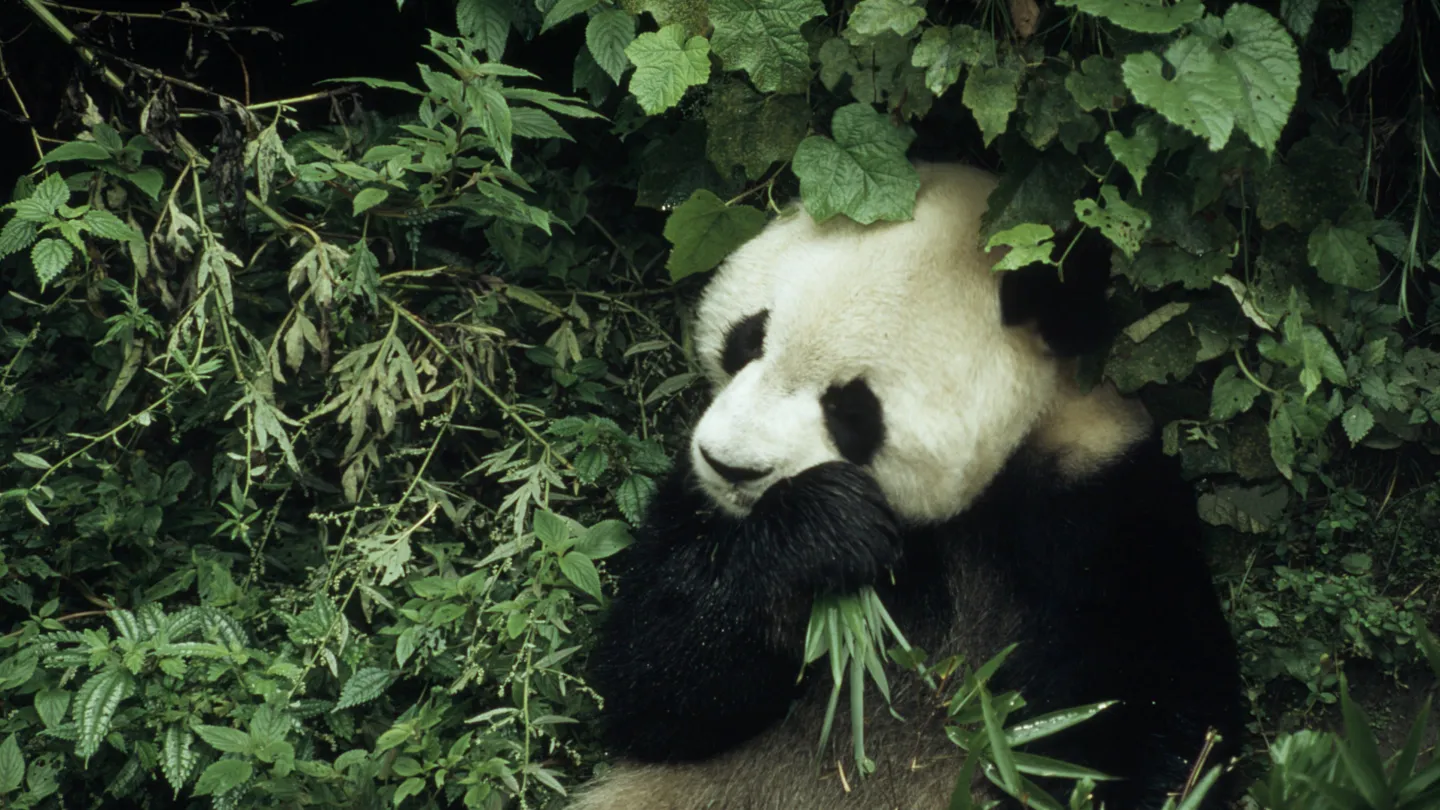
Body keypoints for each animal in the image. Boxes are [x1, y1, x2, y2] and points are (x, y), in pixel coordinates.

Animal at [572, 163, 1243, 810]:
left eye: (851, 407)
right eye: (748, 338)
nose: (729, 465)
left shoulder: (1103, 500)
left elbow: (1149, 711)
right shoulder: (697, 503)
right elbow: (655, 681)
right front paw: (823, 532)